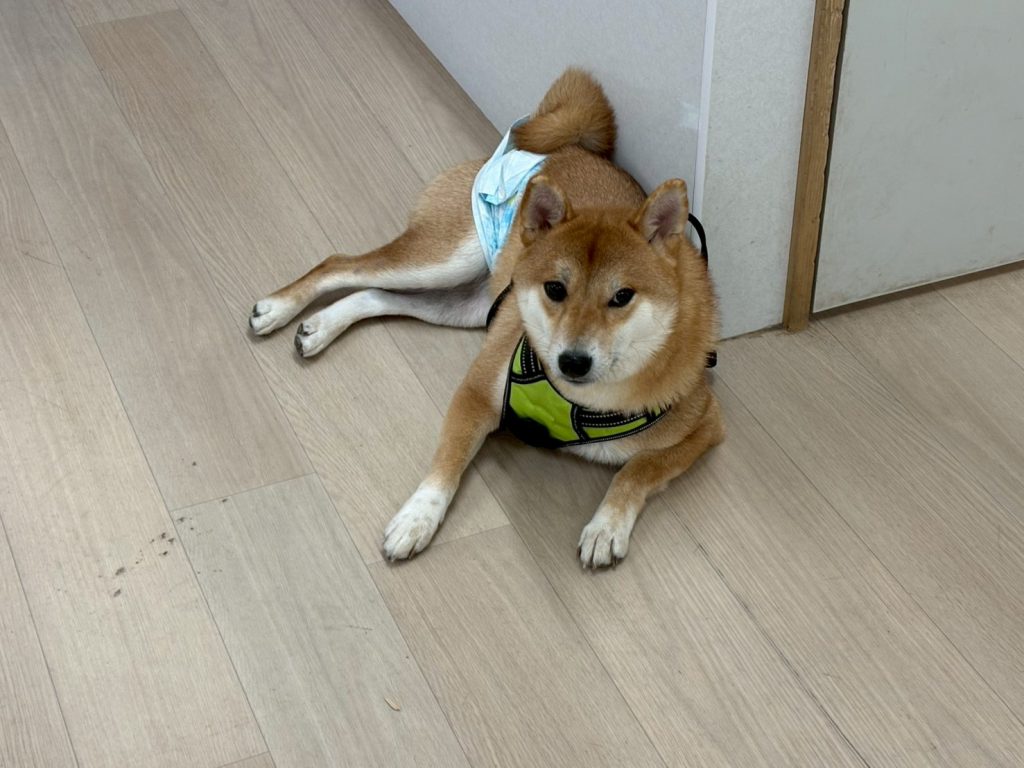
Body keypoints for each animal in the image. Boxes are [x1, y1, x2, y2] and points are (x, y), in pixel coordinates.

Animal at [249, 69, 723, 567]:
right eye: (555, 290)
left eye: (622, 297)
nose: (573, 361)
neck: (581, 401)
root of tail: (563, 150)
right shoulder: (476, 393)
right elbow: (446, 465)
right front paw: (417, 518)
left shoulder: (705, 426)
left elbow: (637, 469)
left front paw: (606, 526)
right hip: (443, 260)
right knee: (340, 263)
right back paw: (278, 309)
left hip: (468, 305)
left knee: (374, 294)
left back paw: (320, 327)